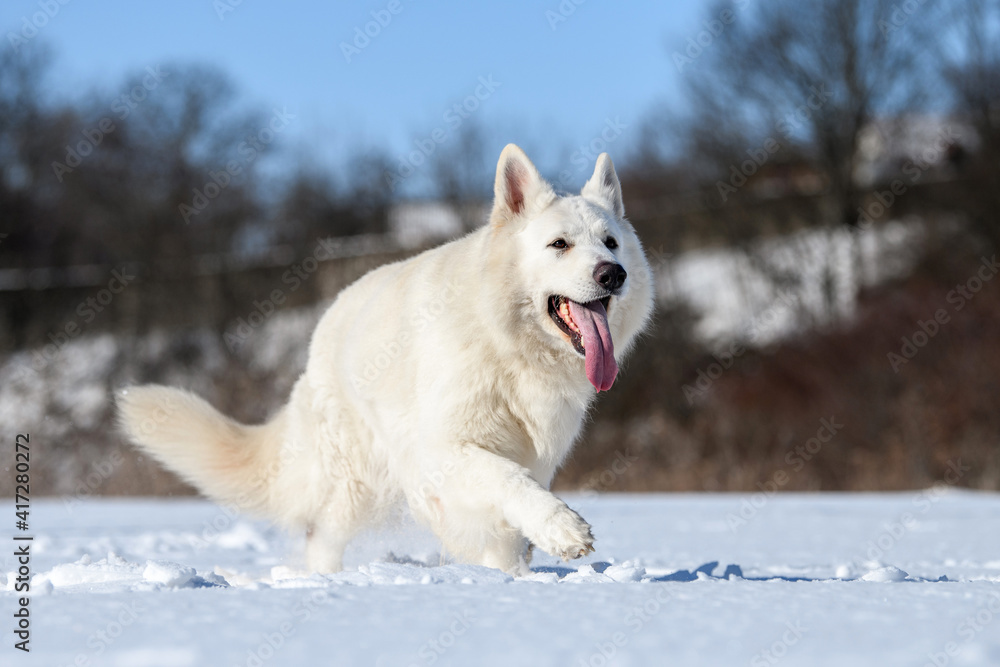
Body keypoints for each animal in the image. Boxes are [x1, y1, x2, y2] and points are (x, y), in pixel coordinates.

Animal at [119, 145, 656, 576]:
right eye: (559, 244)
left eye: (610, 242)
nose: (613, 274)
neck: (507, 347)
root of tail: (322, 329)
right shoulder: (443, 453)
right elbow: (506, 482)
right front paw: (561, 529)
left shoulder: (536, 457)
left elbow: (509, 517)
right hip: (357, 485)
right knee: (322, 535)